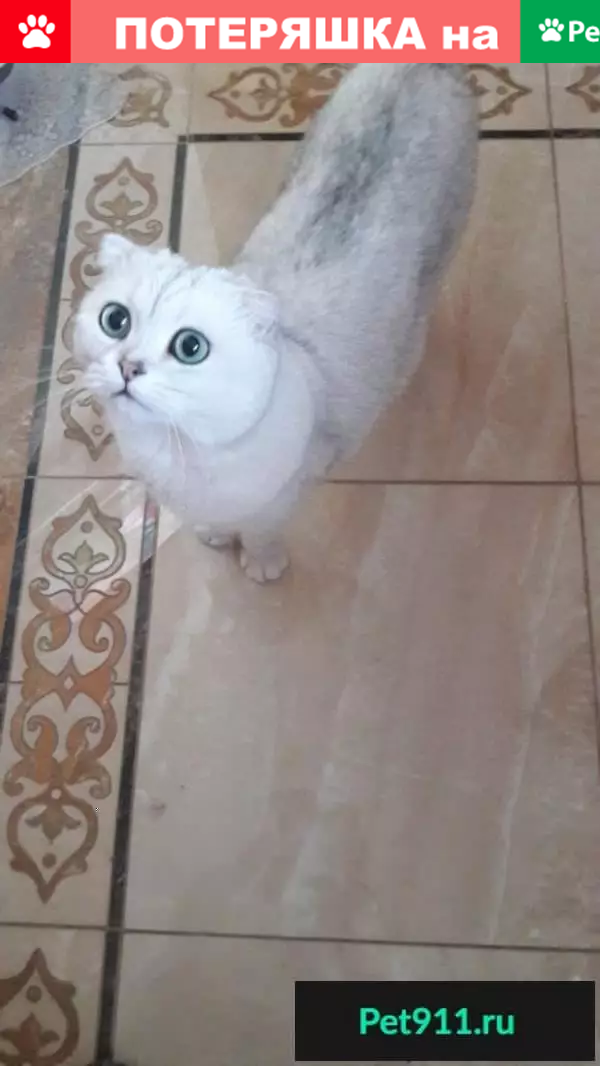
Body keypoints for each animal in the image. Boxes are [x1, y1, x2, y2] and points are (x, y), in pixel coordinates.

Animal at [75, 63, 477, 582]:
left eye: (190, 347)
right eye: (115, 320)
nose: (128, 366)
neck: (177, 449)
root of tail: (421, 63)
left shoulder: (284, 496)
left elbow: (261, 533)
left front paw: (262, 564)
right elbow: (217, 522)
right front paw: (216, 535)